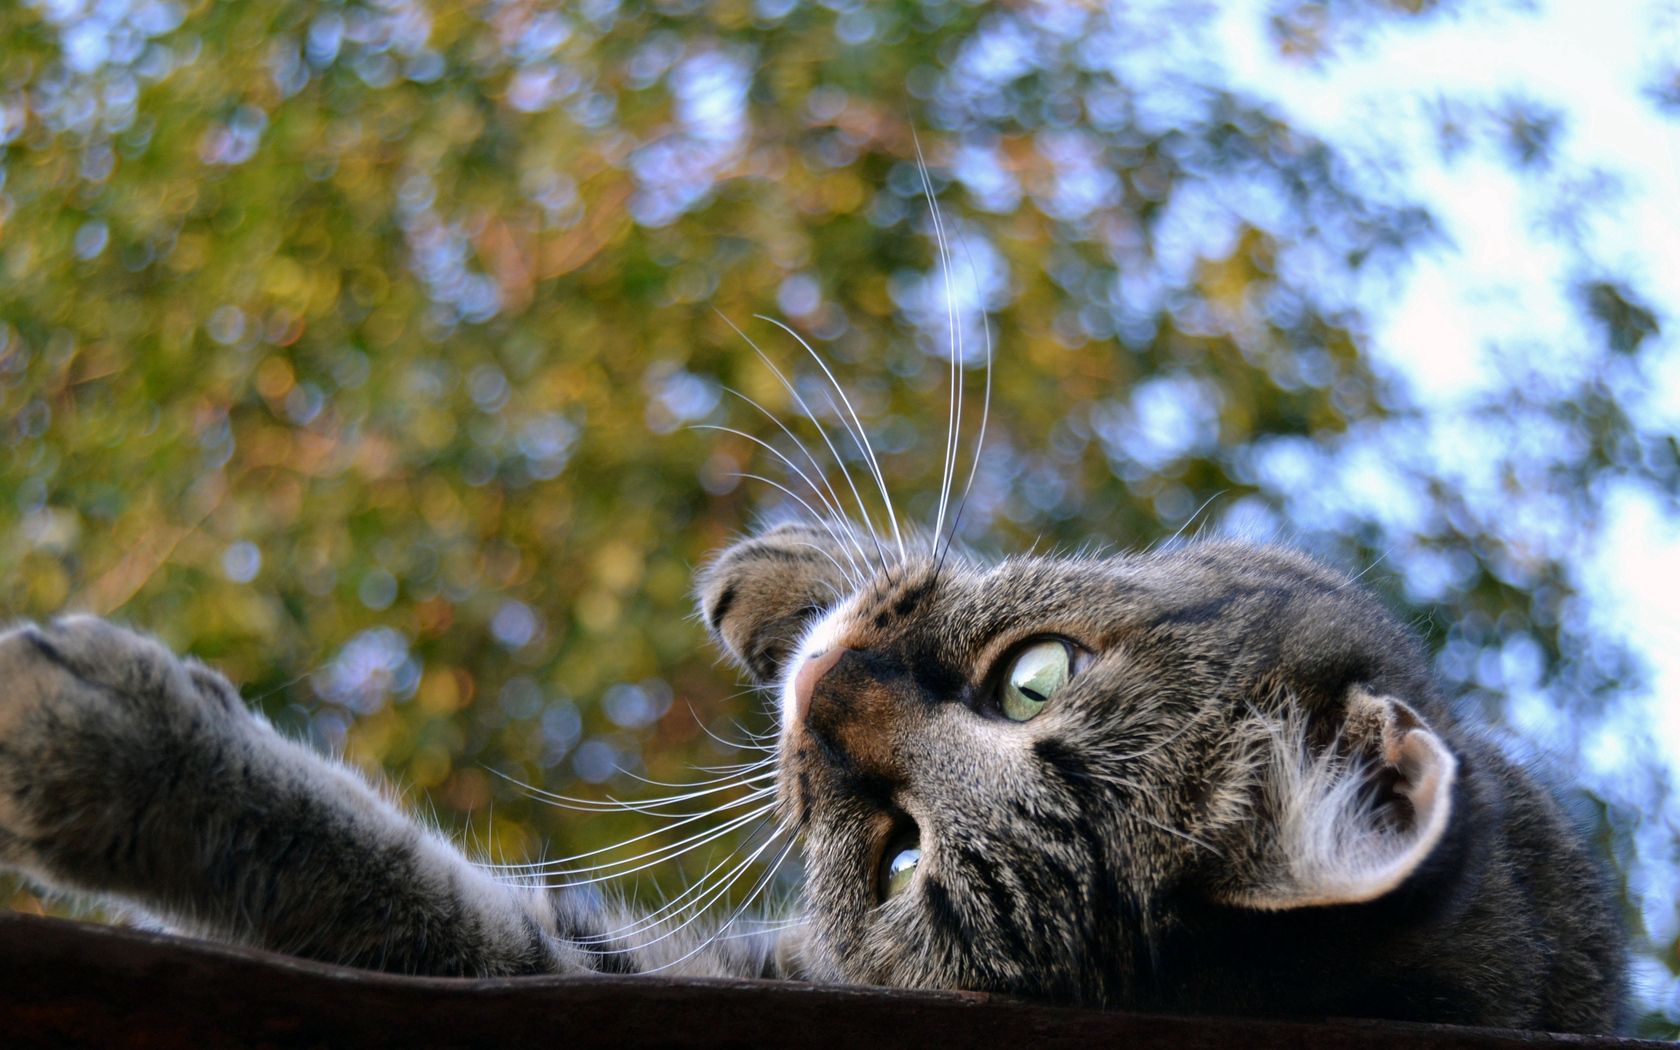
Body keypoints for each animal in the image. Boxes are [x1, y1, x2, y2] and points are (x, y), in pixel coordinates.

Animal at [0, 520, 1626, 1028]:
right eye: (1036, 675)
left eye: (896, 854)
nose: (827, 700)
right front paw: (784, 575)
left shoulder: (664, 974)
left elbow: (413, 894)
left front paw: (102, 747)